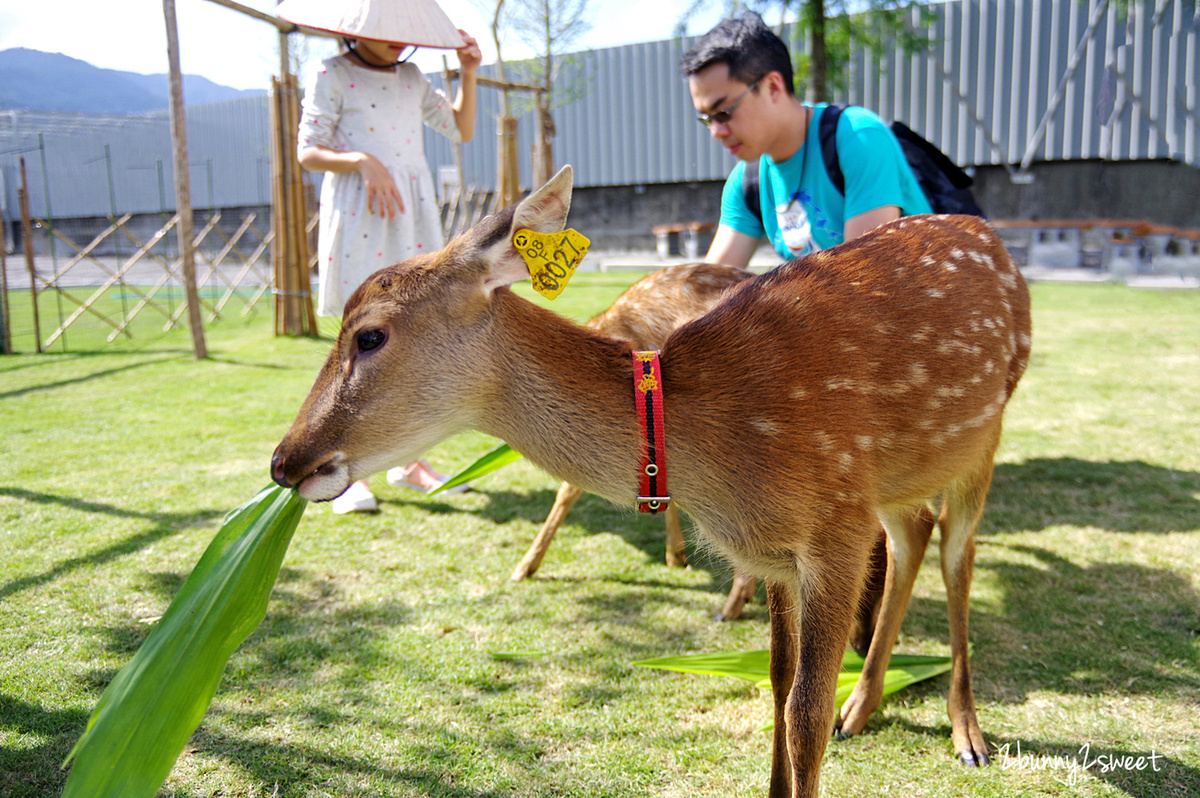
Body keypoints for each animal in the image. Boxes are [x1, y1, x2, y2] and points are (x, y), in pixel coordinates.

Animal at [272, 164, 1032, 792]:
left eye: (369, 335)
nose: (284, 461)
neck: (721, 458)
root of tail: (992, 238)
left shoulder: (837, 528)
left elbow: (803, 716)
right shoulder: (779, 556)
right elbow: (776, 687)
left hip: (985, 432)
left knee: (957, 552)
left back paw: (967, 734)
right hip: (907, 470)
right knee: (914, 533)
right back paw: (864, 705)